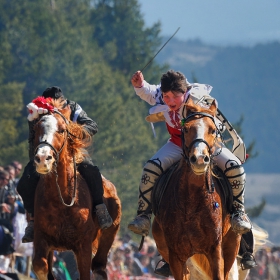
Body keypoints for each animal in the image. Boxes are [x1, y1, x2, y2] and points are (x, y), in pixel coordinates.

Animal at [32, 99, 121, 278]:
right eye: (37, 128)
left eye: (61, 130)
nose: (43, 158)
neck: (61, 199)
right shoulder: (41, 238)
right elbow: (40, 266)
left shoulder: (83, 246)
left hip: (110, 232)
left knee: (99, 267)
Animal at [151, 99, 241, 280]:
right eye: (186, 129)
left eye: (212, 130)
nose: (199, 159)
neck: (192, 199)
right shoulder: (176, 256)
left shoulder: (215, 251)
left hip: (231, 245)